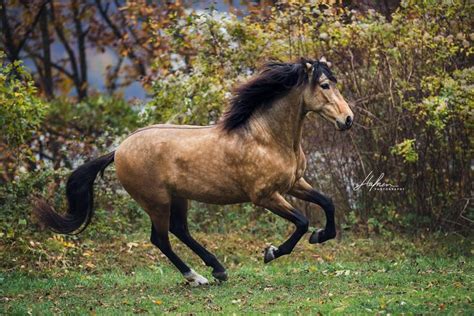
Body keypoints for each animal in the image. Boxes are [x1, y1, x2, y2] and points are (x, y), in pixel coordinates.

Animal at [35, 56, 354, 286]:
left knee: (179, 230)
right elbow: (301, 221)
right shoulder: (265, 196)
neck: (267, 137)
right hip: (156, 201)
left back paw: (218, 270)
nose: (348, 119)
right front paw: (272, 252)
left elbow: (327, 203)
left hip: (179, 197)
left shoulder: (294, 183)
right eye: (324, 85)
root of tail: (119, 150)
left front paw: (321, 236)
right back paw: (197, 277)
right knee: (161, 239)